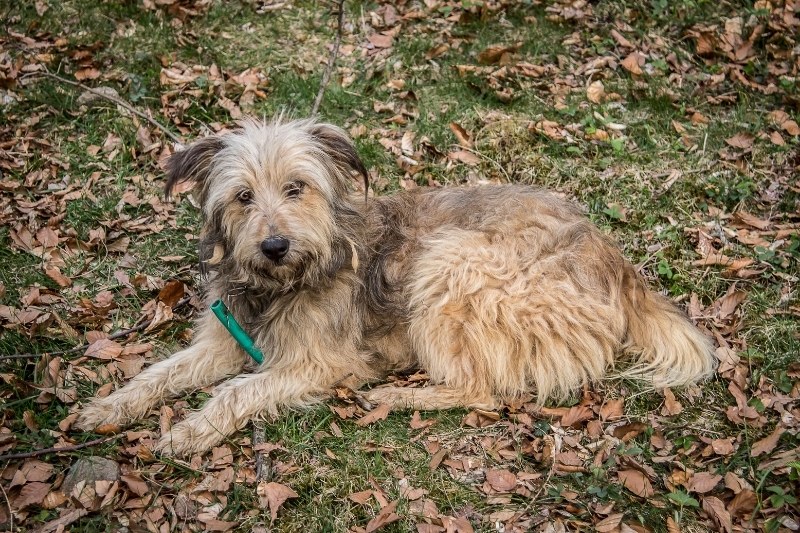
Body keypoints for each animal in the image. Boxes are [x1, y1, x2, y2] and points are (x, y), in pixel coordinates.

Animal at [76, 118, 720, 456]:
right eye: (242, 197)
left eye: (296, 188)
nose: (275, 245)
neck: (286, 281)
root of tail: (618, 264)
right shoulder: (226, 338)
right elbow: (162, 373)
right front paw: (108, 407)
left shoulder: (317, 362)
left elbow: (238, 391)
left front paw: (189, 430)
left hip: (453, 265)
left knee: (483, 390)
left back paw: (398, 396)